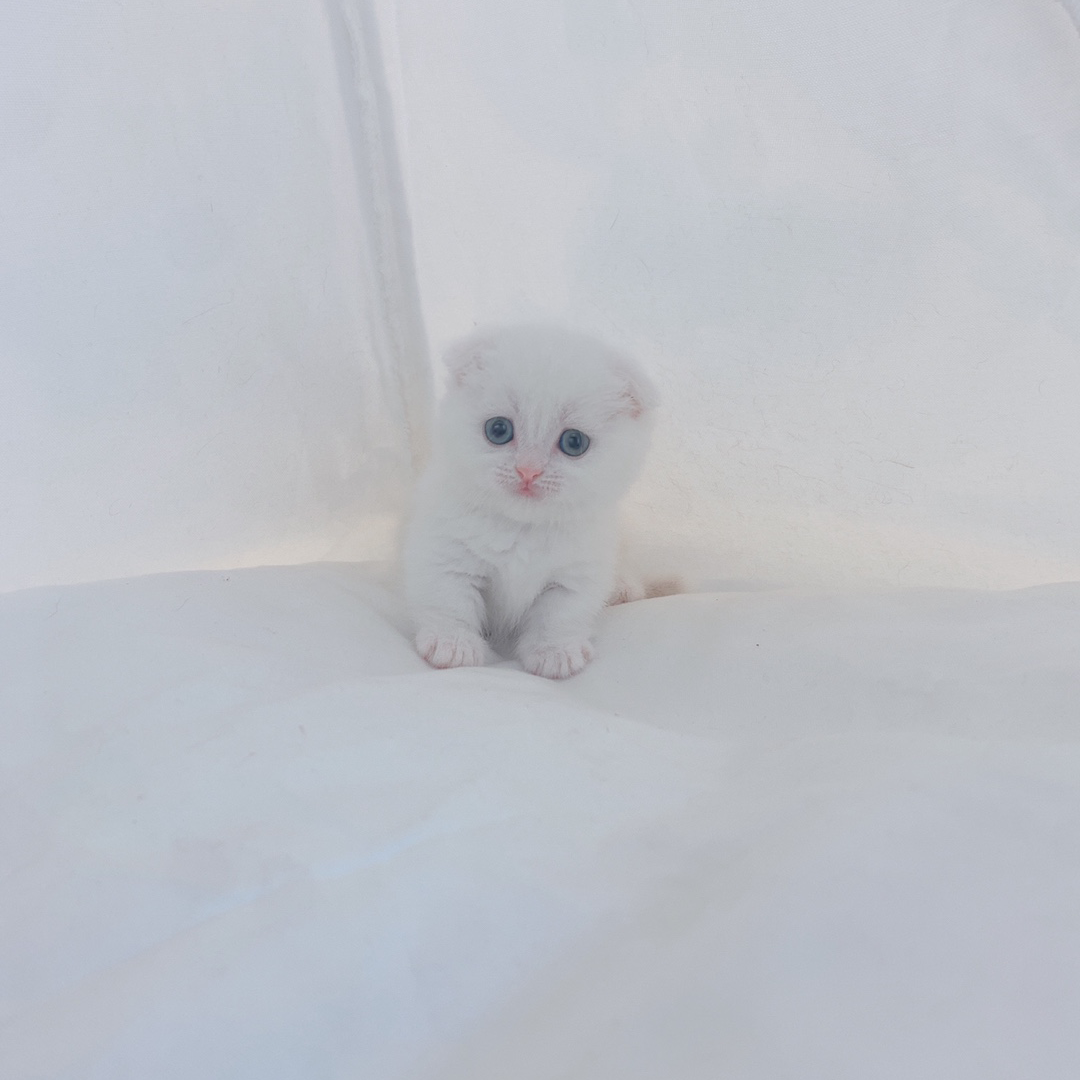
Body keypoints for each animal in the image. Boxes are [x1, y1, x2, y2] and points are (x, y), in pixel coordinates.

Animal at [403, 324, 657, 679]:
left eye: (574, 442)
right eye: (498, 430)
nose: (528, 471)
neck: (522, 530)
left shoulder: (576, 573)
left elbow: (560, 614)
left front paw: (555, 651)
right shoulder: (444, 554)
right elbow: (448, 600)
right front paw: (452, 643)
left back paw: (623, 588)